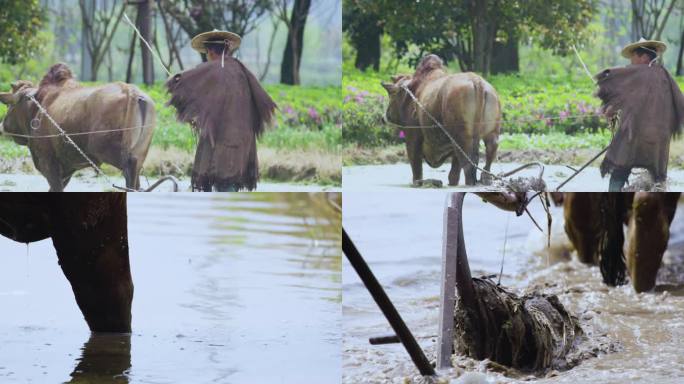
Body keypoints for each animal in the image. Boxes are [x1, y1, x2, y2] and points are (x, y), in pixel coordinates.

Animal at [0, 64, 155, 194]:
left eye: (9, 105)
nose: (3, 125)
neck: (36, 106)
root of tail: (132, 92)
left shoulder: (48, 161)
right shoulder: (68, 168)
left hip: (108, 150)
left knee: (130, 168)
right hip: (140, 152)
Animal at [382, 54, 500, 186]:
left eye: (391, 95)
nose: (385, 116)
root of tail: (477, 81)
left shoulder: (412, 136)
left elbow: (416, 166)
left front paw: (417, 182)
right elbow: (454, 173)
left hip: (461, 135)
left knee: (468, 162)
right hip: (491, 132)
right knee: (489, 152)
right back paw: (486, 178)